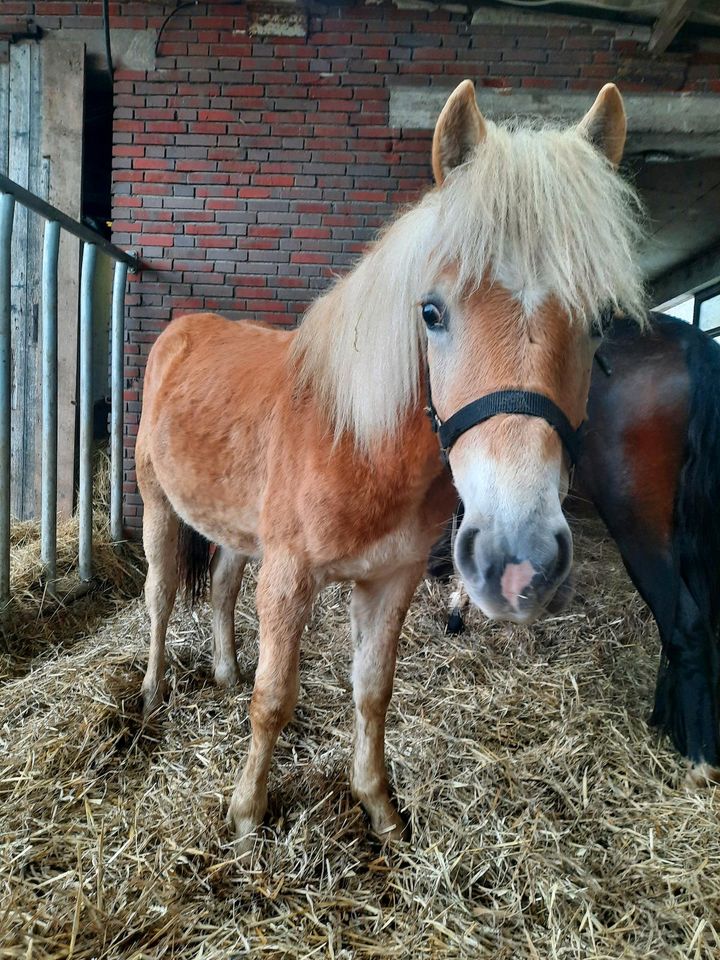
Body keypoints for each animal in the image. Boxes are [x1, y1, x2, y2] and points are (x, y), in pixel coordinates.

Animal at [138, 79, 644, 852]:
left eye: (602, 322)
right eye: (431, 312)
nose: (516, 559)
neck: (357, 442)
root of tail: (184, 330)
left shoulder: (390, 581)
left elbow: (373, 691)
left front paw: (378, 808)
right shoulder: (289, 578)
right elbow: (273, 698)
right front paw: (248, 816)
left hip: (235, 528)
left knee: (220, 588)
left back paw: (220, 671)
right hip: (156, 505)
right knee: (163, 595)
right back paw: (153, 690)